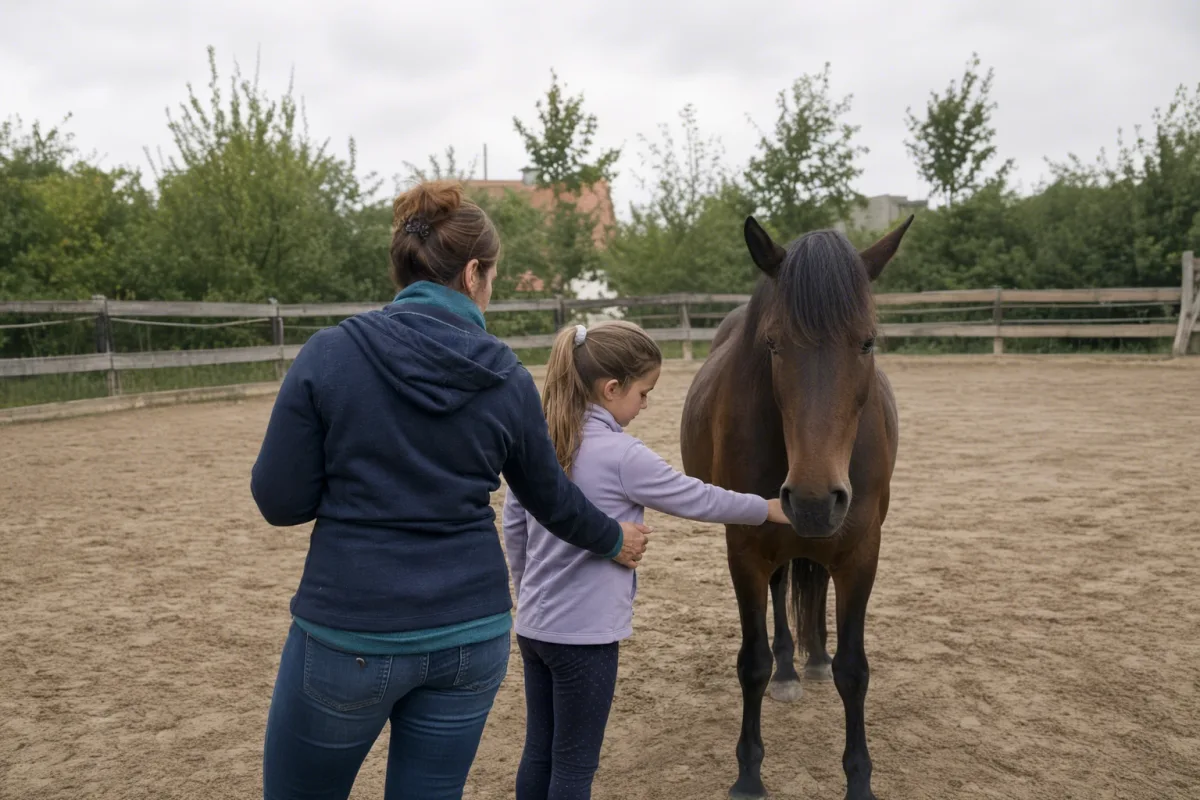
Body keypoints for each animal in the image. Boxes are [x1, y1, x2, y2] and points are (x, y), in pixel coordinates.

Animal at [680, 214, 912, 800]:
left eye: (867, 342)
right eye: (774, 344)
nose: (811, 500)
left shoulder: (861, 552)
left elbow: (855, 670)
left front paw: (859, 781)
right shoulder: (744, 549)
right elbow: (752, 663)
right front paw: (748, 775)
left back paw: (815, 659)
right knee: (783, 590)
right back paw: (789, 669)